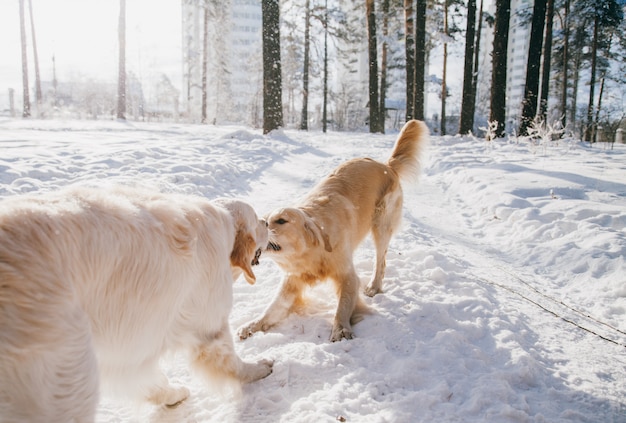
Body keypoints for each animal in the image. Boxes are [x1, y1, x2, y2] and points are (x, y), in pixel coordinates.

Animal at [0, 187, 272, 423]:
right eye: (258, 221)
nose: (268, 222)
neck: (224, 227)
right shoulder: (209, 324)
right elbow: (232, 362)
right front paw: (257, 370)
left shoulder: (127, 354)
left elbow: (148, 381)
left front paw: (172, 395)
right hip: (69, 377)